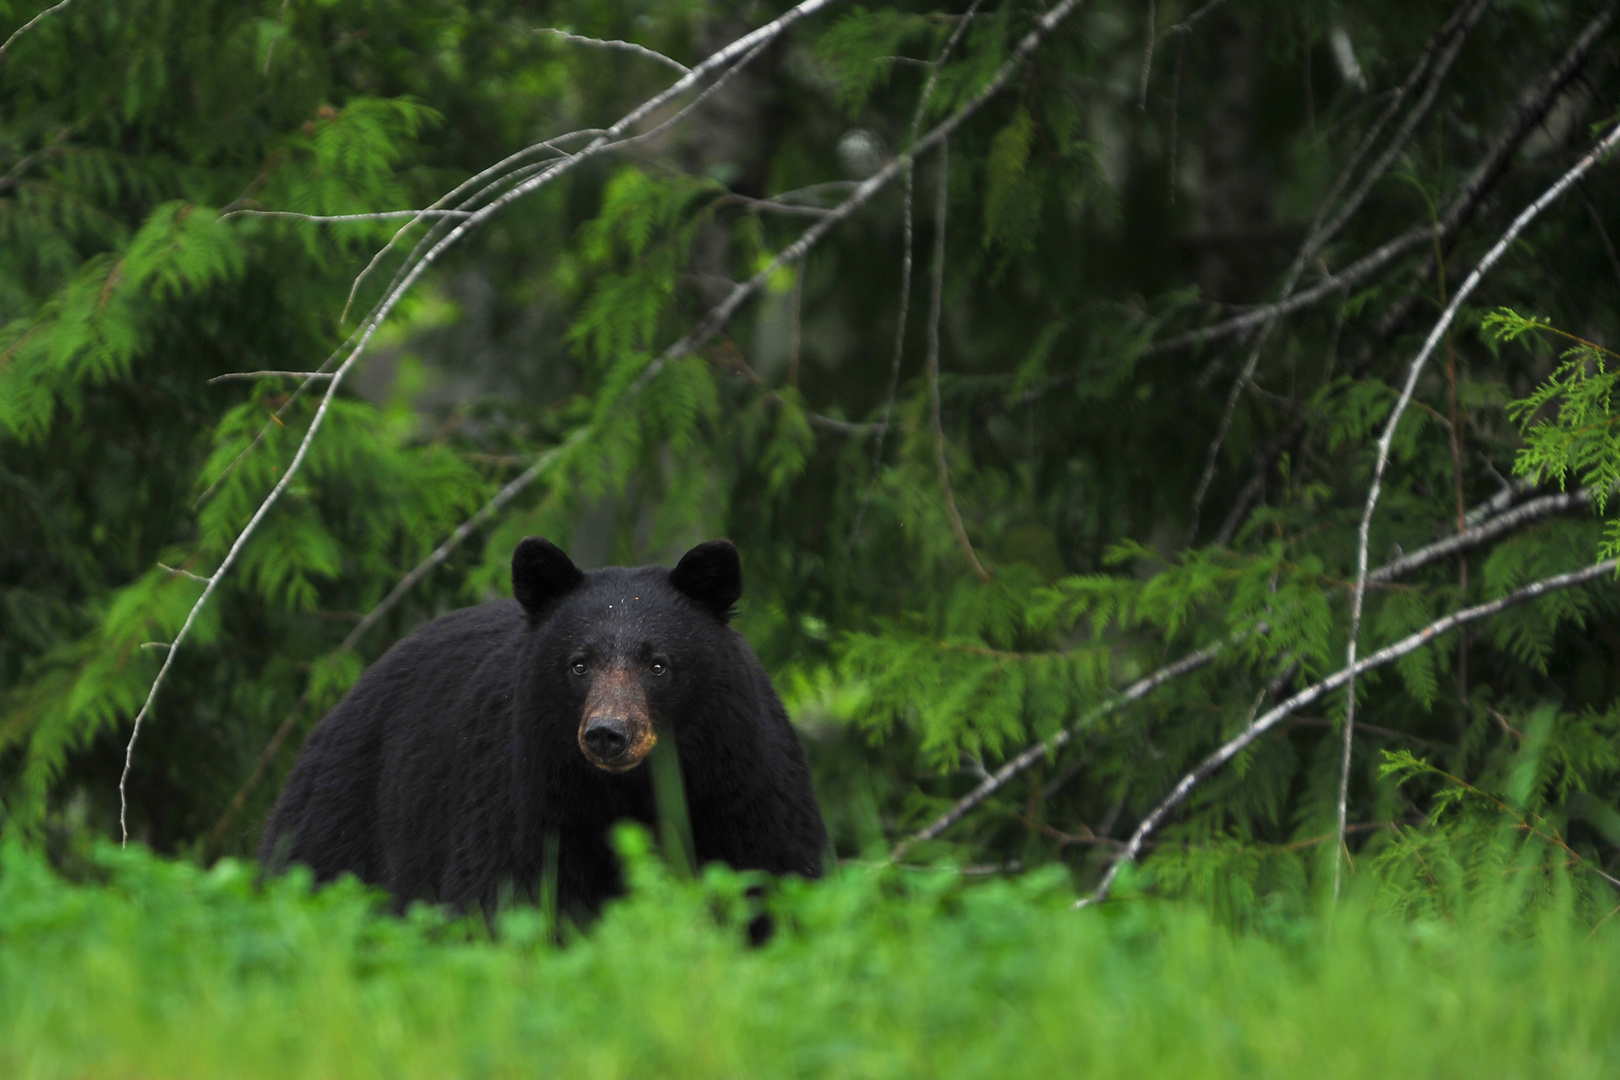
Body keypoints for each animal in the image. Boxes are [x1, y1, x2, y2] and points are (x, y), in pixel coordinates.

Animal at [264, 537, 829, 919]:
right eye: (579, 663)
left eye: (658, 664)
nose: (608, 733)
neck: (627, 792)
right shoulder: (523, 794)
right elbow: (504, 895)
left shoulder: (743, 786)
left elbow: (774, 882)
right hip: (347, 819)